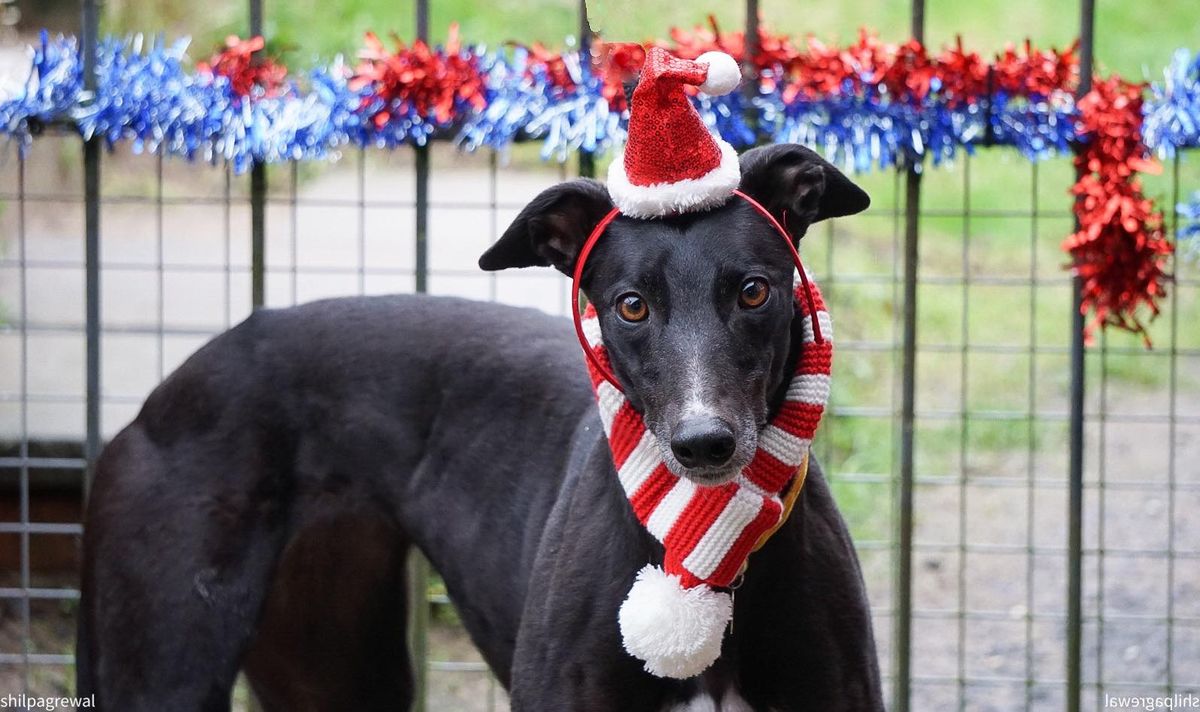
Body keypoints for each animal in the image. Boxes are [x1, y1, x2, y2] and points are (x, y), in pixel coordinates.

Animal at [75, 144, 883, 710]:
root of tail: (161, 397)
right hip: (165, 658)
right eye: (631, 305)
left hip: (333, 662)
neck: (703, 551)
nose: (704, 444)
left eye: (753, 291)